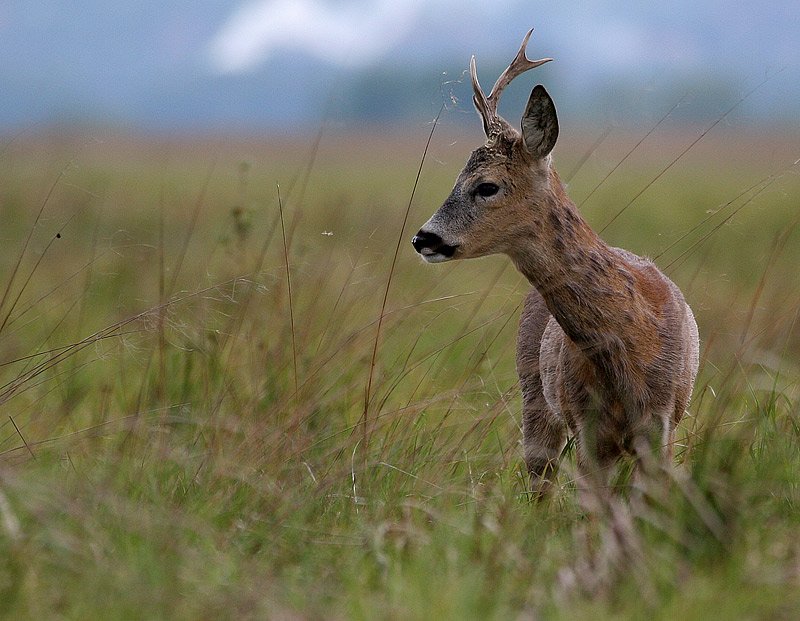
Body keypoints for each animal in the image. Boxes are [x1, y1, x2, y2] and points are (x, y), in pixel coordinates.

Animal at [416, 29, 696, 496]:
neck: (629, 352)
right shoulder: (587, 427)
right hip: (534, 395)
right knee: (538, 480)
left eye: (486, 186)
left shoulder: (662, 424)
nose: (424, 238)